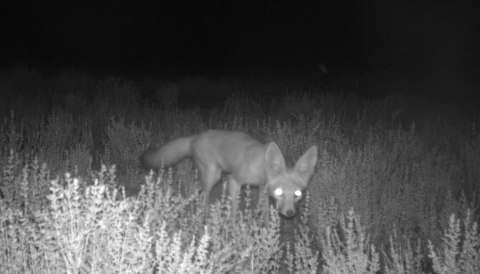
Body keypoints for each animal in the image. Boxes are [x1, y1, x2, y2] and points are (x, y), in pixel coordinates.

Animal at [140, 130, 318, 225]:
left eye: (298, 194)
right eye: (280, 192)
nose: (290, 213)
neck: (261, 166)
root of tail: (196, 137)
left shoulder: (262, 189)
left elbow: (265, 212)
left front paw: (267, 232)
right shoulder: (233, 180)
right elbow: (233, 209)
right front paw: (233, 228)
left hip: (212, 175)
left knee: (197, 189)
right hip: (214, 176)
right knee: (205, 196)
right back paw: (205, 216)